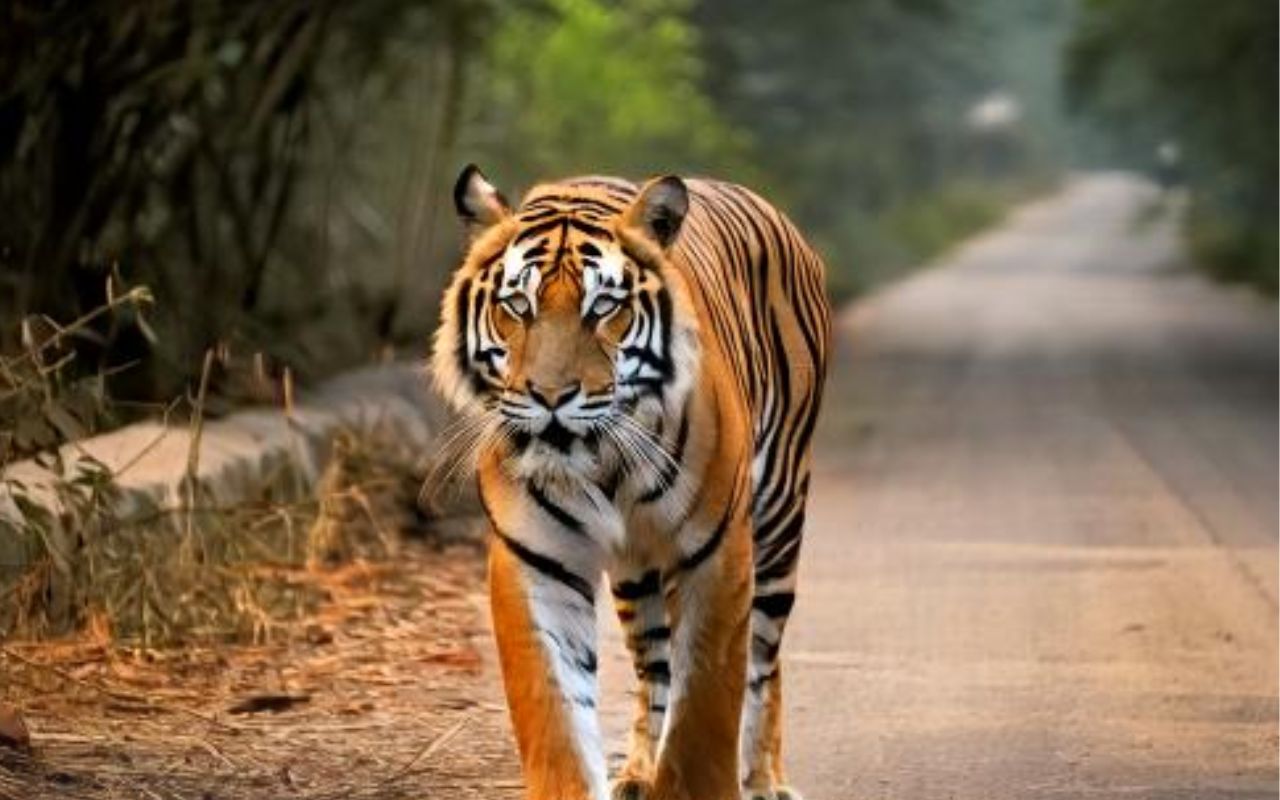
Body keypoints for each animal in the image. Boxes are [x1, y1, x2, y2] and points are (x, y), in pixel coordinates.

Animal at [430, 164, 830, 800]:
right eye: (516, 304)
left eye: (603, 306)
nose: (550, 396)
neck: (602, 463)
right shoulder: (536, 560)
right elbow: (555, 716)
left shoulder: (716, 555)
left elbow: (706, 711)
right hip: (635, 572)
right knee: (653, 666)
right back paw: (640, 772)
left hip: (780, 516)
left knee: (765, 659)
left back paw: (765, 779)